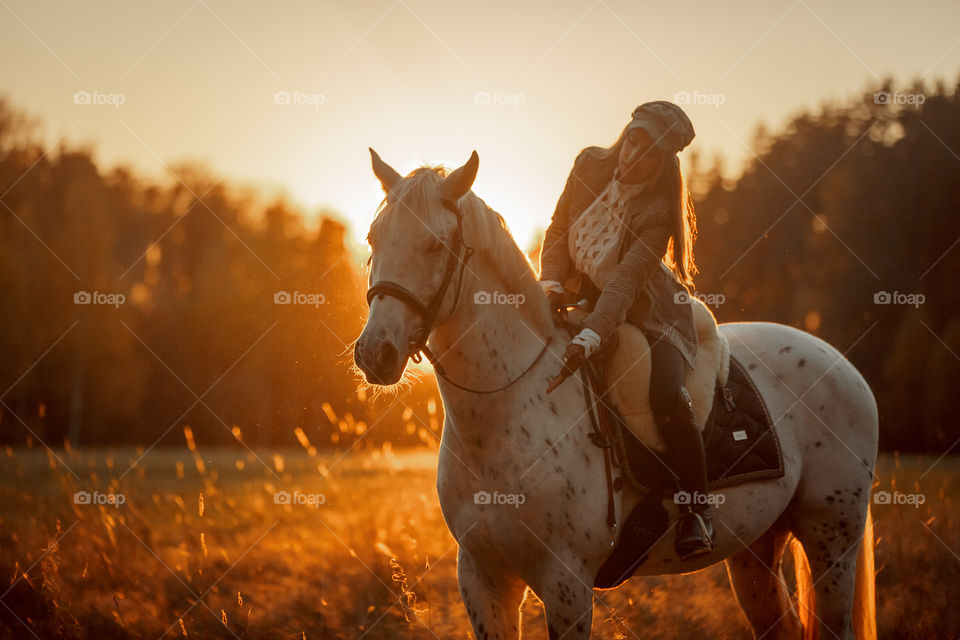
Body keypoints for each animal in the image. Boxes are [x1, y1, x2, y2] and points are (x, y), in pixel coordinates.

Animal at [350, 148, 876, 636]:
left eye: (436, 244)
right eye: (373, 238)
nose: (375, 352)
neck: (506, 413)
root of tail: (841, 363)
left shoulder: (566, 583)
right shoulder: (483, 580)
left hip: (831, 538)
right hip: (756, 549)